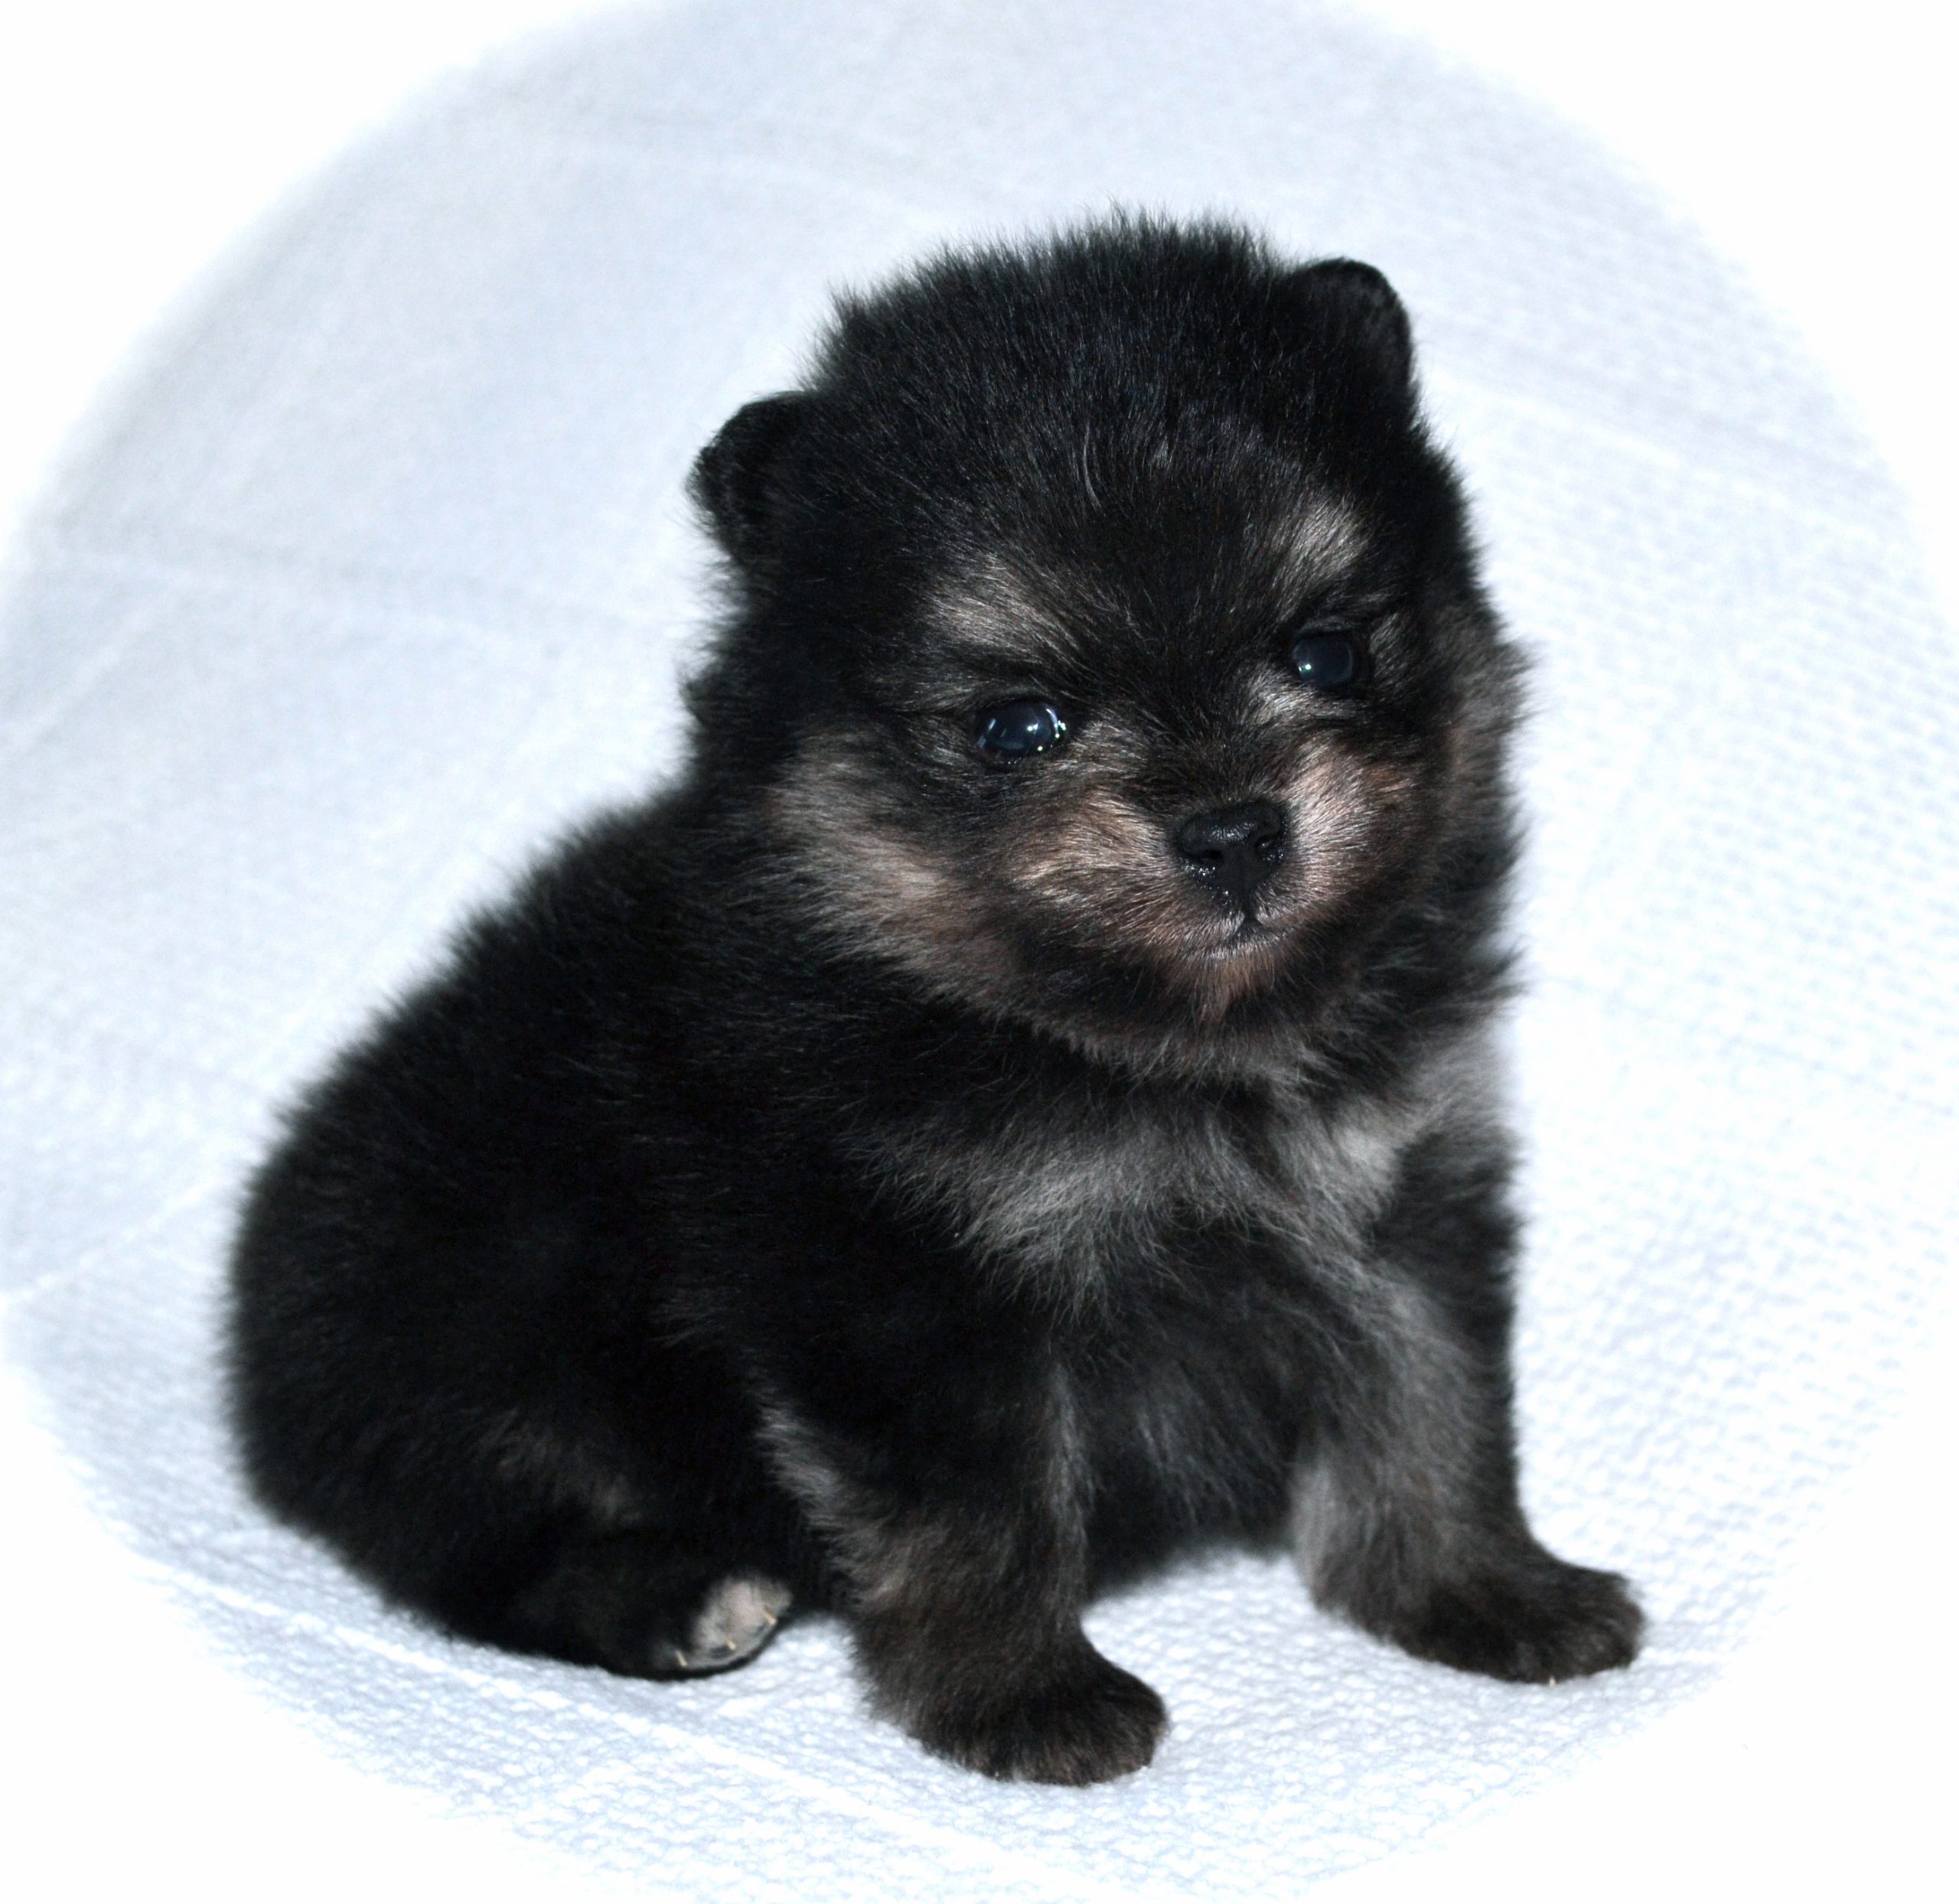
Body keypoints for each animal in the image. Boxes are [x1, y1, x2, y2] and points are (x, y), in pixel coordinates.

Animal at [229, 216, 1642, 1785]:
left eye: (1323, 650)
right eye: (1021, 724)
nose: (1233, 831)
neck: (1149, 1048)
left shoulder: (1398, 1198)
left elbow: (1434, 1408)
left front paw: (1485, 1589)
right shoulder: (897, 1283)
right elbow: (979, 1512)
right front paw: (1021, 1696)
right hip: (465, 1325)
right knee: (482, 1546)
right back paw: (674, 1596)